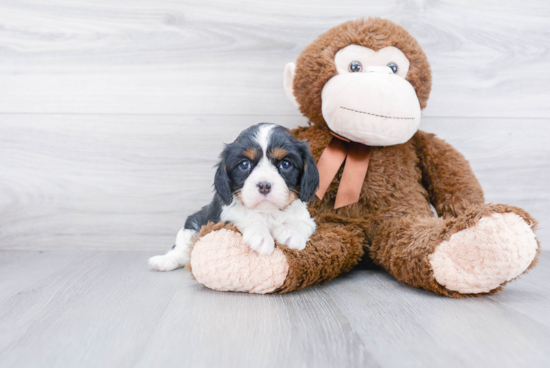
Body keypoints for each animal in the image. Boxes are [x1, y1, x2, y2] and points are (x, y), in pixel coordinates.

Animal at [149, 123, 322, 270]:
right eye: (244, 164)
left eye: (285, 164)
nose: (264, 185)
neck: (268, 213)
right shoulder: (223, 217)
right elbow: (244, 218)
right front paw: (261, 235)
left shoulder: (307, 218)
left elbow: (302, 223)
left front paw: (291, 233)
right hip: (193, 223)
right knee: (182, 250)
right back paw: (164, 260)